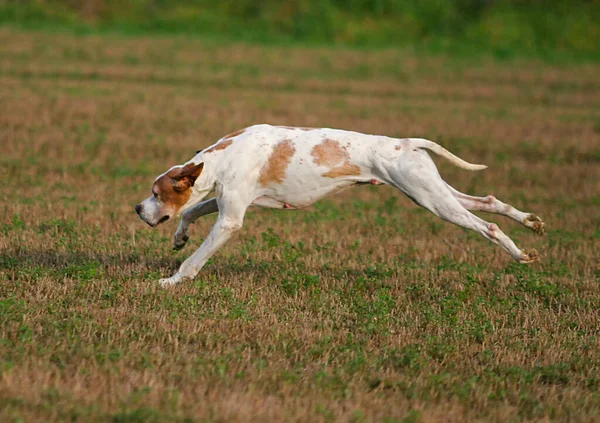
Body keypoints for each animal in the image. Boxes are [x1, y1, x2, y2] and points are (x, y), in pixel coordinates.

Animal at [135, 124, 544, 286]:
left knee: (487, 226)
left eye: (156, 193)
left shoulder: (230, 219)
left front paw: (172, 281)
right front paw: (179, 238)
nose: (138, 209)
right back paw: (530, 222)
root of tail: (407, 143)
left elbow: (194, 261)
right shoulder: (224, 202)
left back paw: (519, 253)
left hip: (433, 200)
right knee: (490, 202)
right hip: (433, 190)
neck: (224, 156)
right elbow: (190, 211)